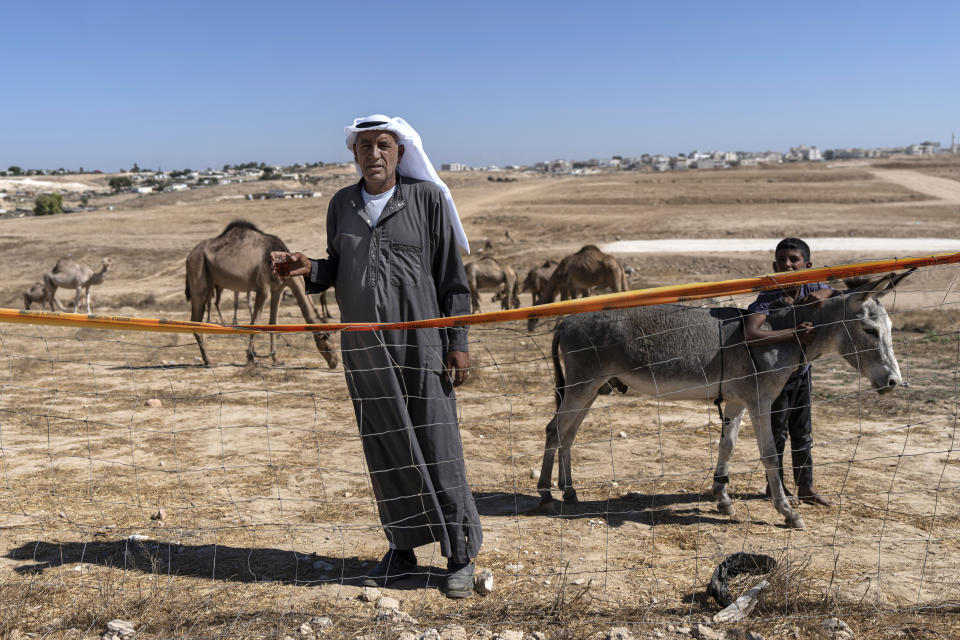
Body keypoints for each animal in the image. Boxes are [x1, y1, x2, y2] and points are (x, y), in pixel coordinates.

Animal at [186, 220, 340, 368]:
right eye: (327, 347)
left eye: (336, 345)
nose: (334, 363)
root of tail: (189, 256)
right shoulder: (263, 289)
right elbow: (255, 322)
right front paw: (250, 357)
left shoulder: (278, 289)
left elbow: (273, 322)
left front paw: (275, 358)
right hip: (198, 273)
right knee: (195, 319)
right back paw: (209, 360)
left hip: (210, 282)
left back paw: (207, 359)